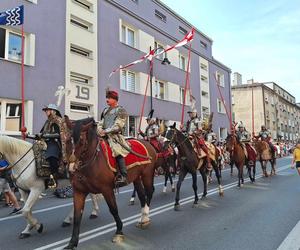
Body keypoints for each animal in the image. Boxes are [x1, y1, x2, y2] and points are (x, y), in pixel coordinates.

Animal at [62, 117, 157, 250]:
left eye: (81, 140)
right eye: (66, 139)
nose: (70, 168)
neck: (92, 161)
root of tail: (148, 143)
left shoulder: (106, 189)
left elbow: (113, 210)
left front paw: (119, 232)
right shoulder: (79, 192)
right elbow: (77, 217)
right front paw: (72, 243)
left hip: (147, 175)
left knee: (149, 192)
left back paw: (146, 216)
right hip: (137, 178)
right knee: (142, 195)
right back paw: (143, 218)